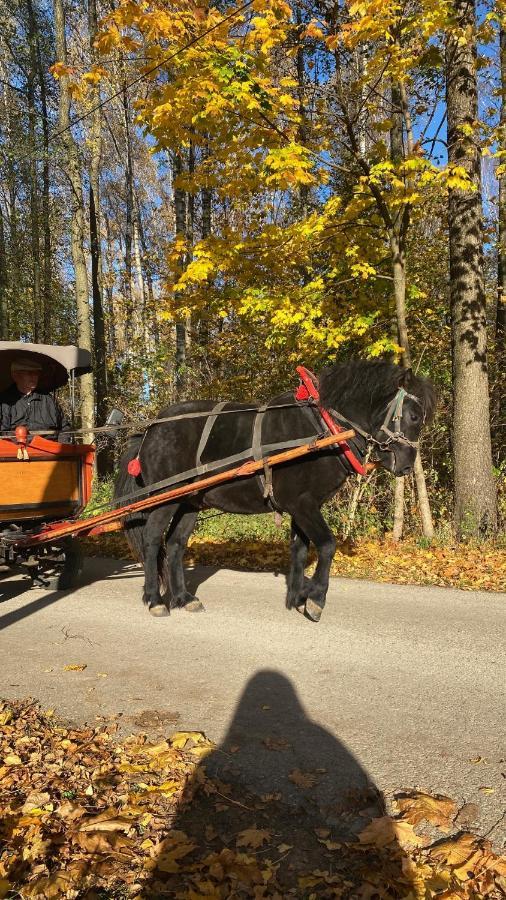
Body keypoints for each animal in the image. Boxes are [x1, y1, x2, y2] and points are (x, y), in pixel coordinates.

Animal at [113, 358, 434, 620]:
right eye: (414, 416)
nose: (407, 465)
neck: (323, 429)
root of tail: (150, 430)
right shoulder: (302, 504)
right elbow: (327, 545)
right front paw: (315, 599)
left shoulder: (302, 506)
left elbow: (300, 550)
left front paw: (297, 597)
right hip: (164, 499)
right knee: (152, 541)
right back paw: (155, 600)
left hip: (190, 502)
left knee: (175, 544)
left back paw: (183, 597)